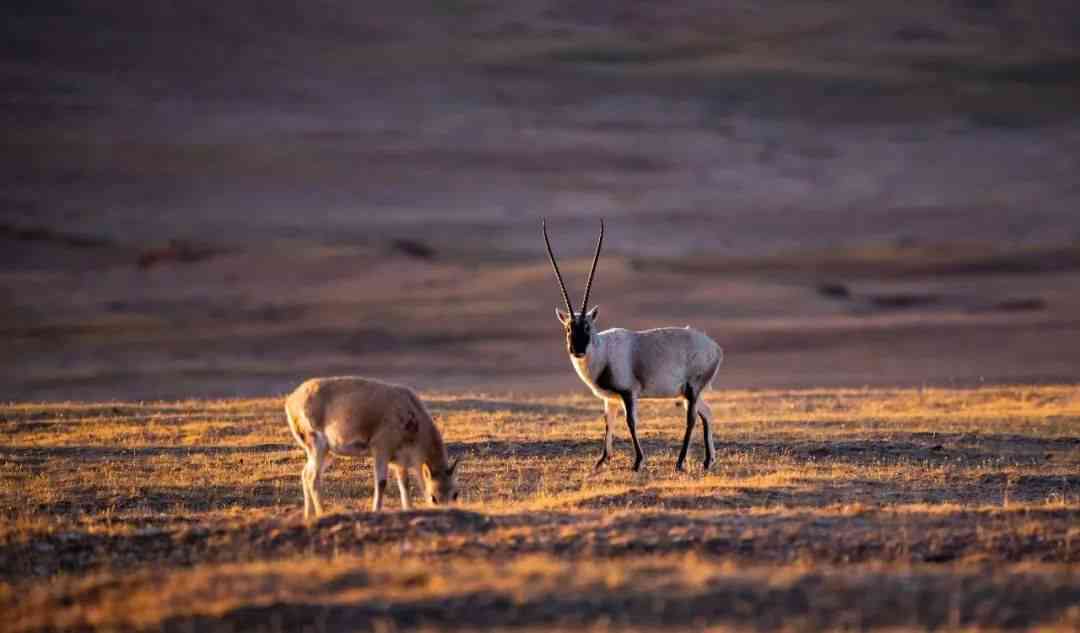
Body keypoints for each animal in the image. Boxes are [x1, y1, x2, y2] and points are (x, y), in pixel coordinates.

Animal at [285, 371, 457, 514]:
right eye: (434, 498)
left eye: (455, 494)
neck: (411, 416)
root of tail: (291, 401)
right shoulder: (381, 450)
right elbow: (381, 483)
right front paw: (376, 509)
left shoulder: (400, 461)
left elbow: (405, 484)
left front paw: (408, 508)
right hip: (317, 445)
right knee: (312, 478)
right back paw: (322, 512)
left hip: (327, 452)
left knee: (305, 474)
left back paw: (308, 515)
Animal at [540, 219, 725, 470]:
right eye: (568, 328)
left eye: (587, 327)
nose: (577, 350)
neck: (603, 351)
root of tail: (714, 347)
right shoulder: (610, 399)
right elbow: (608, 423)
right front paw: (601, 461)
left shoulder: (629, 393)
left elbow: (630, 422)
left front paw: (638, 462)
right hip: (689, 392)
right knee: (707, 412)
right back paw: (707, 461)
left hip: (692, 389)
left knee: (692, 418)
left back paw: (680, 462)